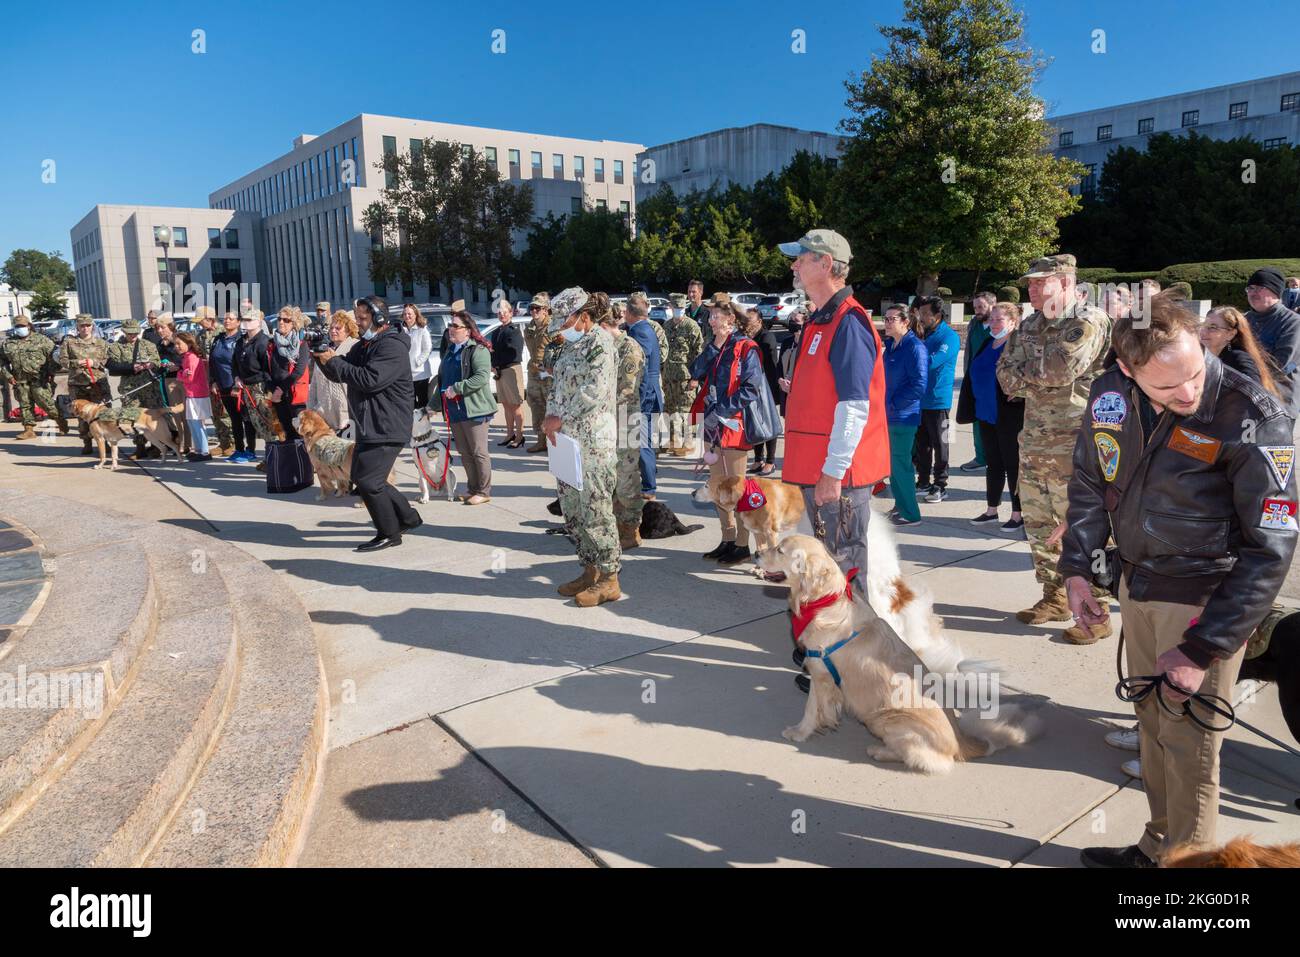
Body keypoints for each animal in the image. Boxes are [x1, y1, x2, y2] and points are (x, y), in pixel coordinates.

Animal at [759, 535, 1040, 774]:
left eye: (780, 550)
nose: (757, 553)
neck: (825, 600)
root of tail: (960, 742)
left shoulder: (820, 674)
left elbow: (810, 709)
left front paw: (798, 732)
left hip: (884, 718)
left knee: (930, 761)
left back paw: (879, 751)